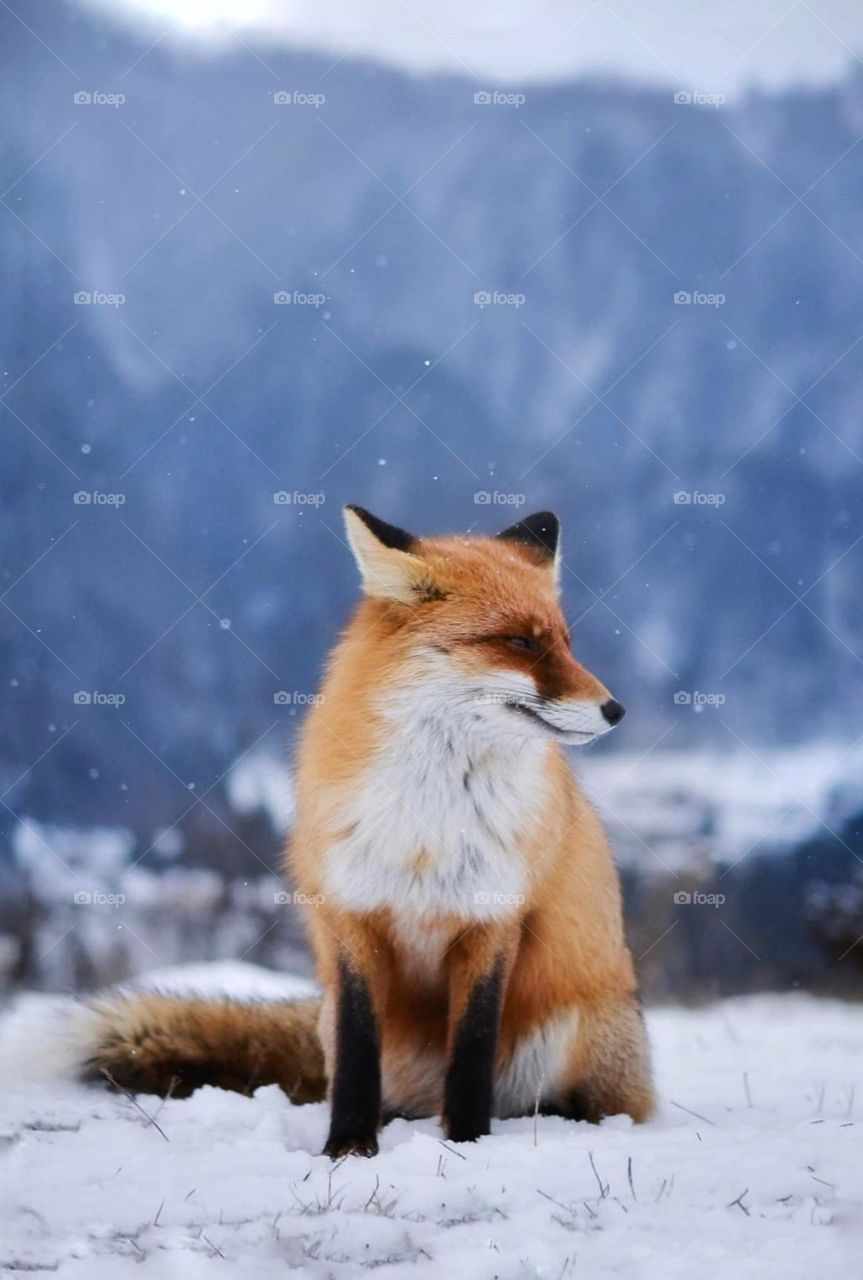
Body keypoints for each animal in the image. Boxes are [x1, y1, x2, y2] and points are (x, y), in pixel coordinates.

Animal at [80, 506, 654, 1156]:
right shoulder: (351, 918)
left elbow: (472, 1052)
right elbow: (358, 1055)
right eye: (520, 642)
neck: (427, 827)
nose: (616, 710)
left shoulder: (491, 921)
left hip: (570, 1031)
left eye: (564, 642)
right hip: (338, 1023)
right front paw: (348, 1150)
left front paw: (468, 1143)